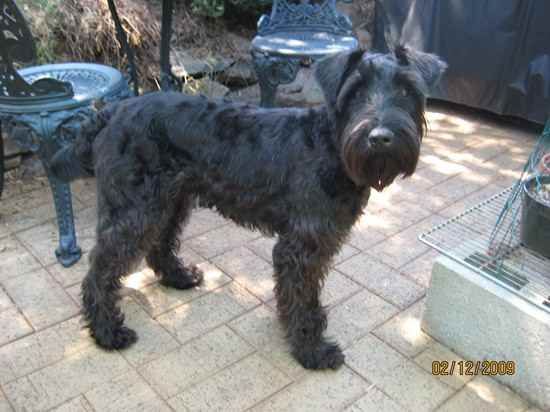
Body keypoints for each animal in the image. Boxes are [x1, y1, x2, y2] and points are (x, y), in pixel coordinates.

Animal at [51, 45, 448, 370]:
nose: (380, 138)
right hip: (134, 211)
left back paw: (179, 278)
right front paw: (311, 349)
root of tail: (112, 111)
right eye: (355, 92)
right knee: (99, 270)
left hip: (170, 202)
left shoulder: (318, 244)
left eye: (406, 90)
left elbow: (305, 292)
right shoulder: (300, 246)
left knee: (158, 246)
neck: (330, 145)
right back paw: (106, 332)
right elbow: (300, 293)